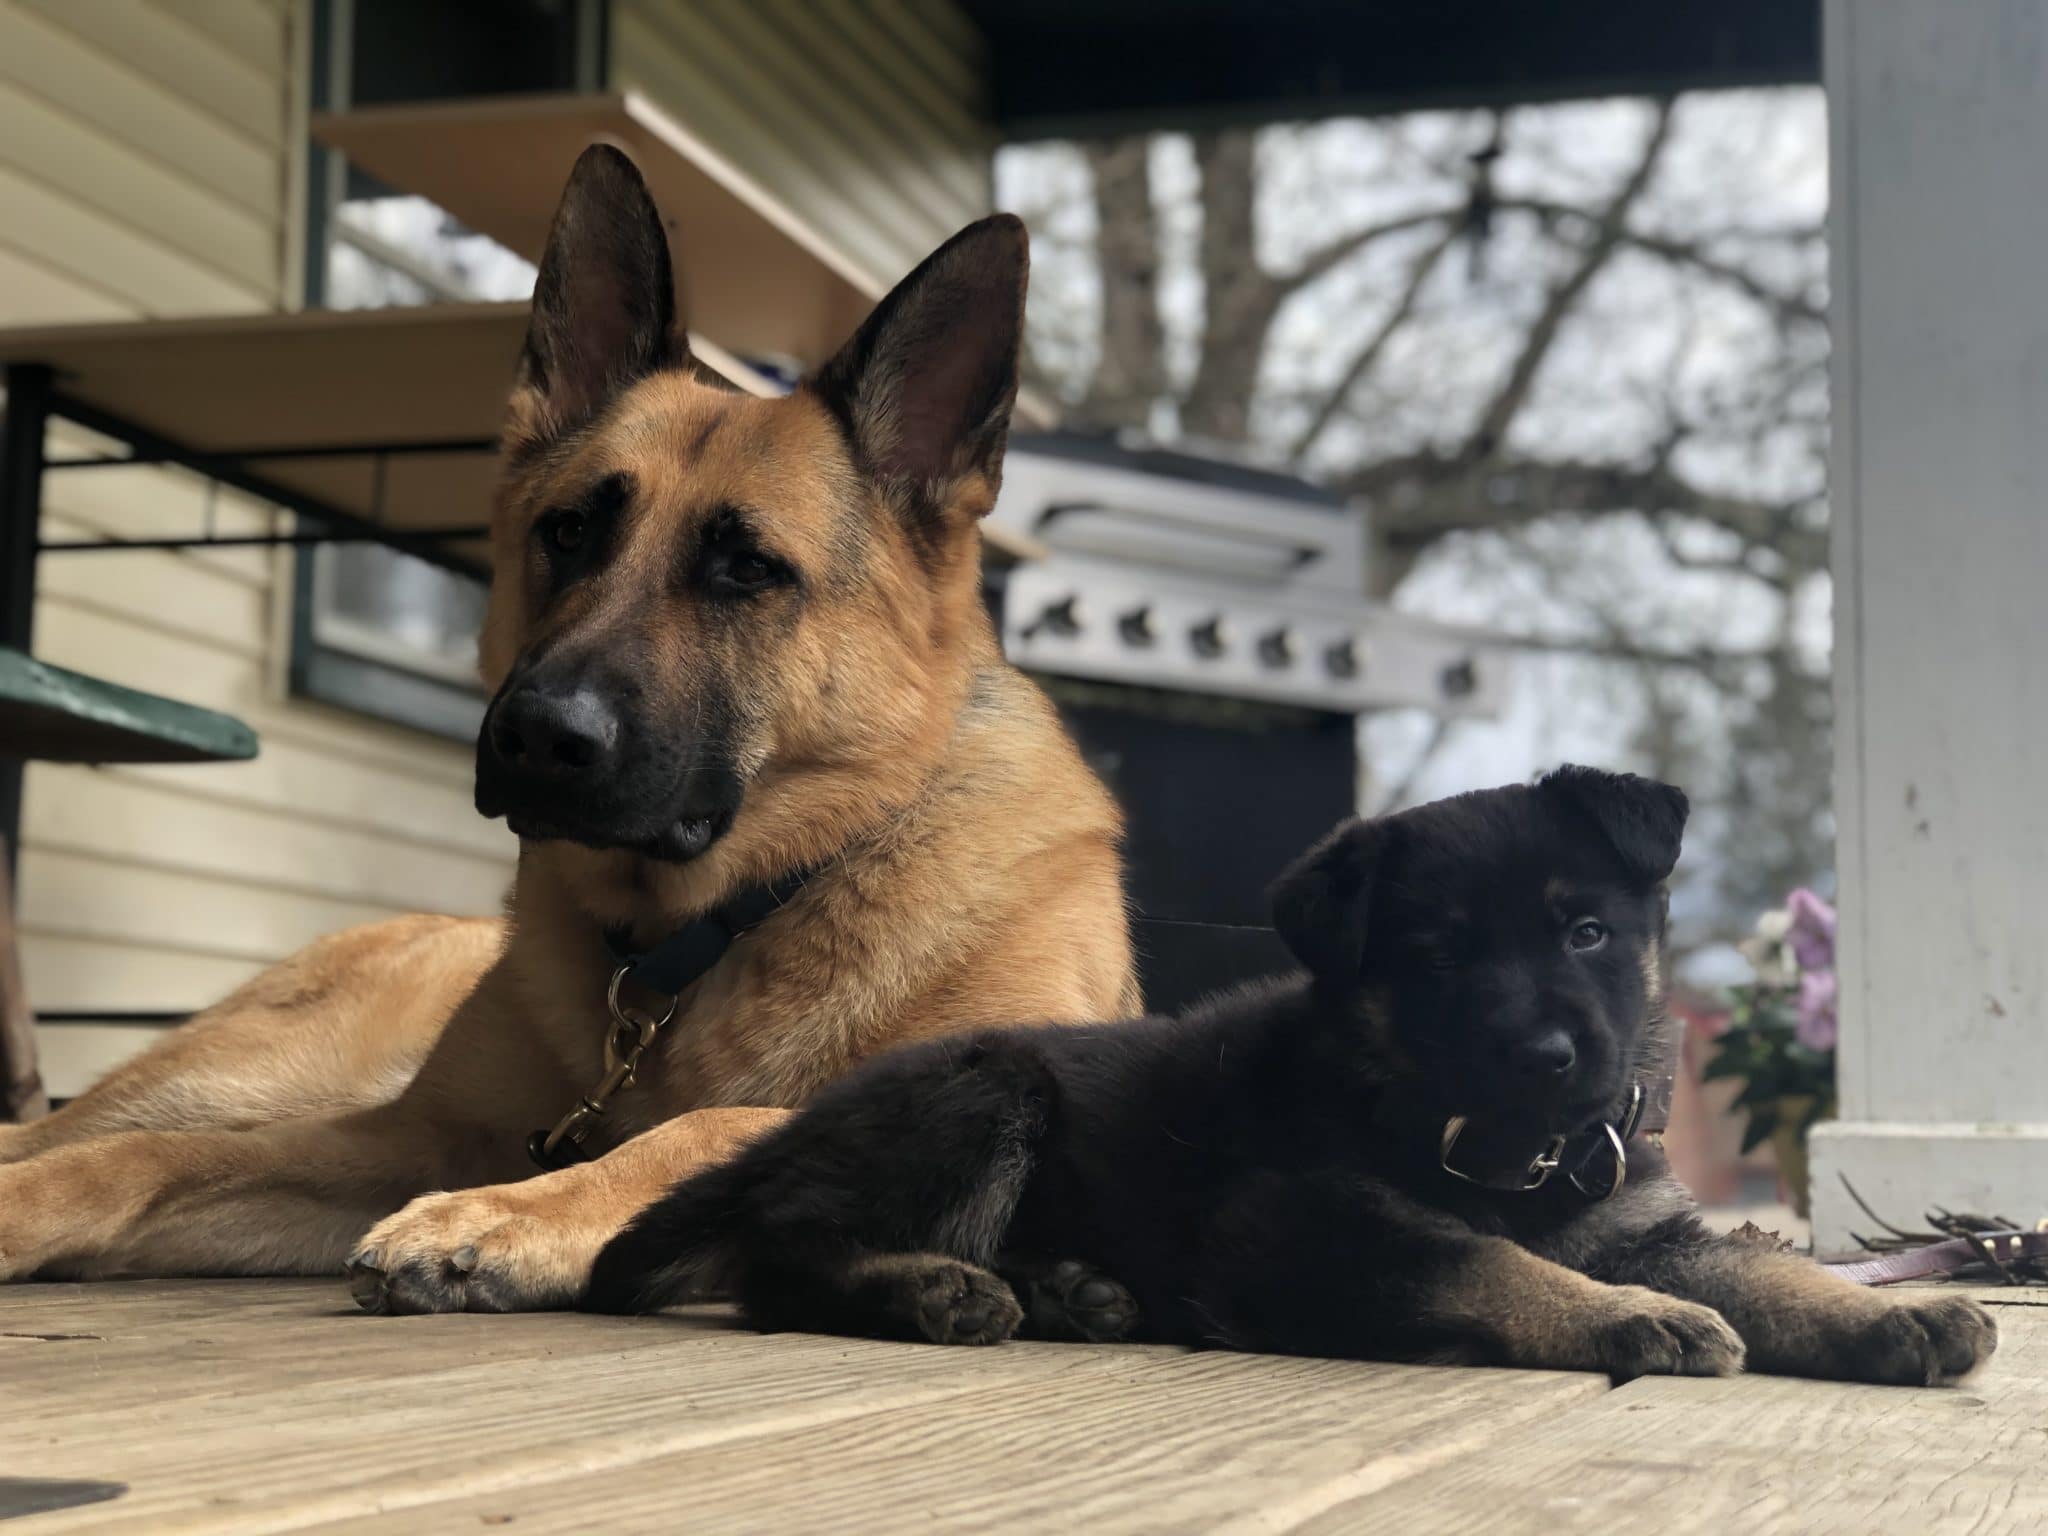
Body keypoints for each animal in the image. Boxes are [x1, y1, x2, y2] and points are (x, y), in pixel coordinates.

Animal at [0, 147, 1138, 1310]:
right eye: (569, 530)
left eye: (748, 568)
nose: (540, 738)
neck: (714, 930)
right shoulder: (401, 1137)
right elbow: (150, 1160)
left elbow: (704, 1128)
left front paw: (510, 1213)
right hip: (243, 1071)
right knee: (84, 1128)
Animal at [585, 774, 1990, 1392]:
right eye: (1436, 957)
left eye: (1584, 931)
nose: (1546, 1058)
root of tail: (789, 1134)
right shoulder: (1297, 1218)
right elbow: (1472, 1257)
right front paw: (1617, 1316)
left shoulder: (1644, 1221)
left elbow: (1764, 1268)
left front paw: (1889, 1312)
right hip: (987, 1089)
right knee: (782, 1258)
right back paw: (938, 1288)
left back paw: (1070, 1293)